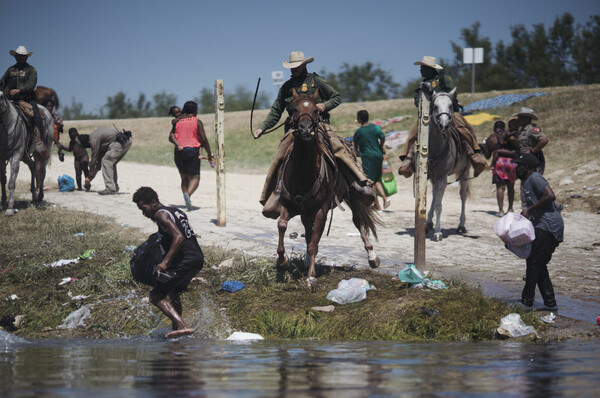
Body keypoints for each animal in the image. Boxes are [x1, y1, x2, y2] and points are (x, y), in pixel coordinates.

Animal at [274, 89, 378, 290]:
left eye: (316, 110)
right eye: (294, 109)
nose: (306, 129)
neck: (303, 172)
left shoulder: (322, 210)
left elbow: (314, 242)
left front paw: (311, 277)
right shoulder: (288, 203)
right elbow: (283, 225)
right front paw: (281, 262)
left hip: (353, 197)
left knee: (358, 222)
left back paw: (372, 257)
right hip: (306, 211)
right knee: (308, 231)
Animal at [424, 88, 472, 241]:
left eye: (450, 106)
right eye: (435, 106)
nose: (443, 124)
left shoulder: (442, 177)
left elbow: (439, 205)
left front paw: (438, 232)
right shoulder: (430, 176)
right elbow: (432, 200)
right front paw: (428, 224)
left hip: (465, 171)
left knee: (463, 195)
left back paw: (461, 225)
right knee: (434, 195)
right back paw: (428, 223)